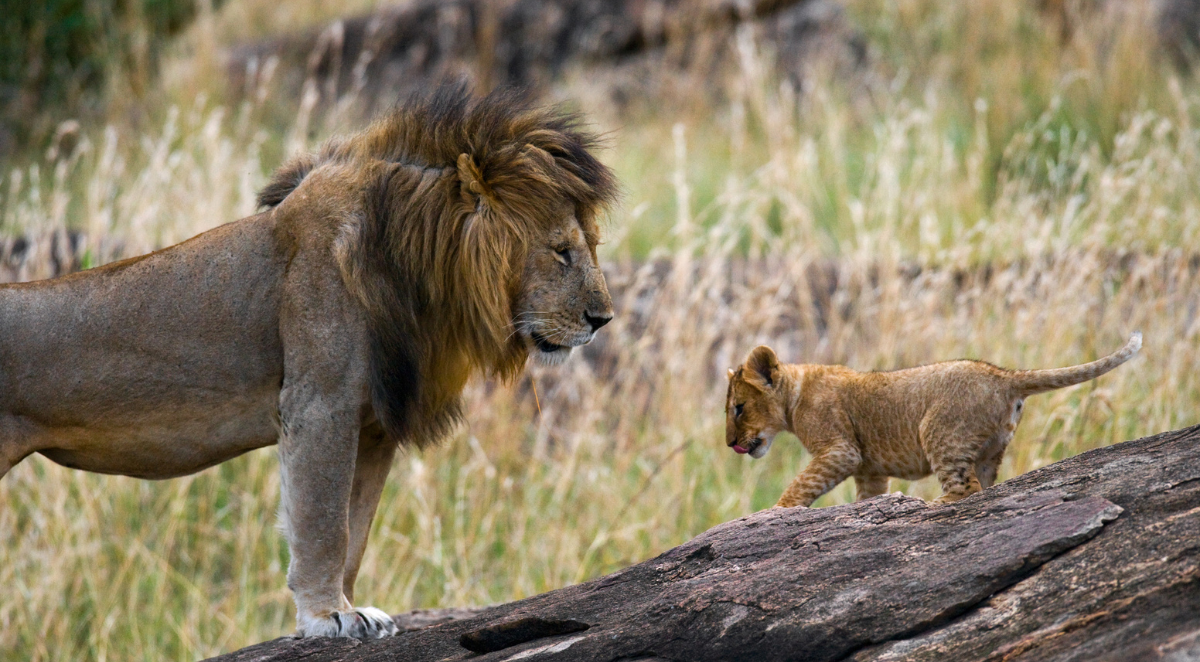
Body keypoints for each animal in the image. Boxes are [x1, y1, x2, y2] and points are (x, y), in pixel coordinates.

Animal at [0, 85, 617, 639]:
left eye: (591, 245)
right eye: (561, 251)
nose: (603, 319)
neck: (416, 271)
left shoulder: (373, 425)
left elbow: (355, 529)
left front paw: (349, 609)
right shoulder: (320, 402)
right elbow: (323, 523)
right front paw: (327, 616)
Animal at [725, 334, 1141, 507]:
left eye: (739, 408)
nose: (730, 444)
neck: (796, 393)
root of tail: (1003, 376)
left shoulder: (840, 450)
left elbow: (802, 485)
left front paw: (776, 512)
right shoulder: (869, 470)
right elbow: (866, 496)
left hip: (937, 430)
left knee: (965, 489)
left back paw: (931, 505)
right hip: (990, 449)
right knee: (983, 485)